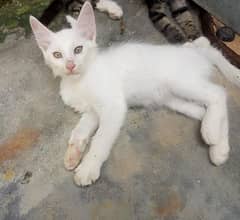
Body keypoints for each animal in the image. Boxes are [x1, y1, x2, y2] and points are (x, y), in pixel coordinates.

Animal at [29, 2, 240, 186]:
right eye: (57, 55)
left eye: (78, 49)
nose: (70, 65)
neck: (79, 80)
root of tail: (197, 53)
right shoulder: (91, 111)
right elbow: (80, 130)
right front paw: (73, 154)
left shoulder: (113, 106)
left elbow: (101, 139)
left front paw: (88, 167)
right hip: (173, 99)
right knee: (204, 109)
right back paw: (219, 148)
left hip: (181, 82)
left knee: (218, 93)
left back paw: (211, 132)